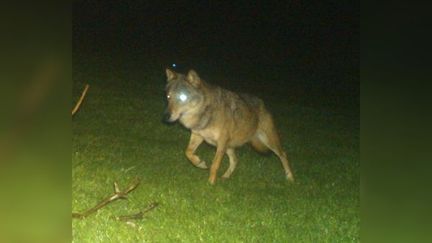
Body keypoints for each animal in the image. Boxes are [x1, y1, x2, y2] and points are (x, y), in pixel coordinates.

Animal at [164, 68, 296, 184]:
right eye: (168, 97)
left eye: (182, 97)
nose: (166, 116)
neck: (205, 112)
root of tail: (262, 103)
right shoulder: (198, 135)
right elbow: (188, 152)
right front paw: (200, 163)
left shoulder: (221, 142)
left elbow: (215, 165)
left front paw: (210, 184)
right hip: (229, 146)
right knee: (235, 160)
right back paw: (225, 177)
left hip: (269, 142)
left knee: (283, 154)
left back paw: (290, 178)